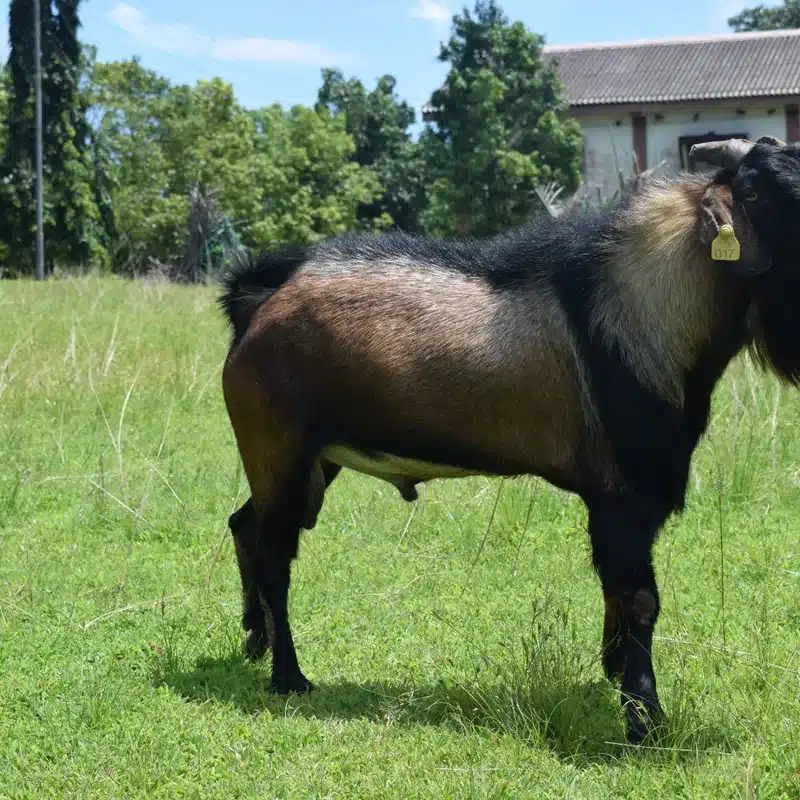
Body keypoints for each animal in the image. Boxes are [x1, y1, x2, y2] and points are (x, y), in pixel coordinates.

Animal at [218, 135, 800, 744]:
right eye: (761, 193)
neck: (635, 307)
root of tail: (258, 300)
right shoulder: (621, 495)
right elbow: (639, 600)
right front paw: (644, 720)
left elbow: (618, 598)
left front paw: (614, 677)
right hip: (279, 446)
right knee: (275, 553)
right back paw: (289, 676)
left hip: (307, 459)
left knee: (246, 525)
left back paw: (255, 640)